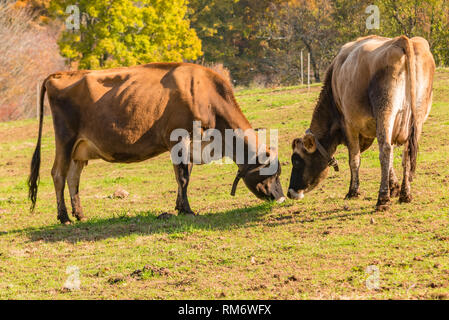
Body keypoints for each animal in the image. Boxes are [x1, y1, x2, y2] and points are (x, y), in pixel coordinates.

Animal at [28, 61, 284, 224]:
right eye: (271, 172)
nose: (281, 197)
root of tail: (59, 75)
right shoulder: (179, 138)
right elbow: (183, 176)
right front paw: (187, 210)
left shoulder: (191, 146)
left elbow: (184, 175)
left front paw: (179, 207)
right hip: (65, 139)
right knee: (58, 174)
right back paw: (64, 217)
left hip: (79, 148)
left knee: (73, 178)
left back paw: (80, 215)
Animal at [288, 35, 434, 211]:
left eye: (296, 160)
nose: (290, 192)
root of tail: (402, 40)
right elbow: (392, 157)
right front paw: (394, 188)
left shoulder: (348, 124)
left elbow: (354, 159)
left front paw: (353, 191)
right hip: (417, 116)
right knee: (407, 153)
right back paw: (405, 194)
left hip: (385, 111)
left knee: (385, 150)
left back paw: (382, 199)